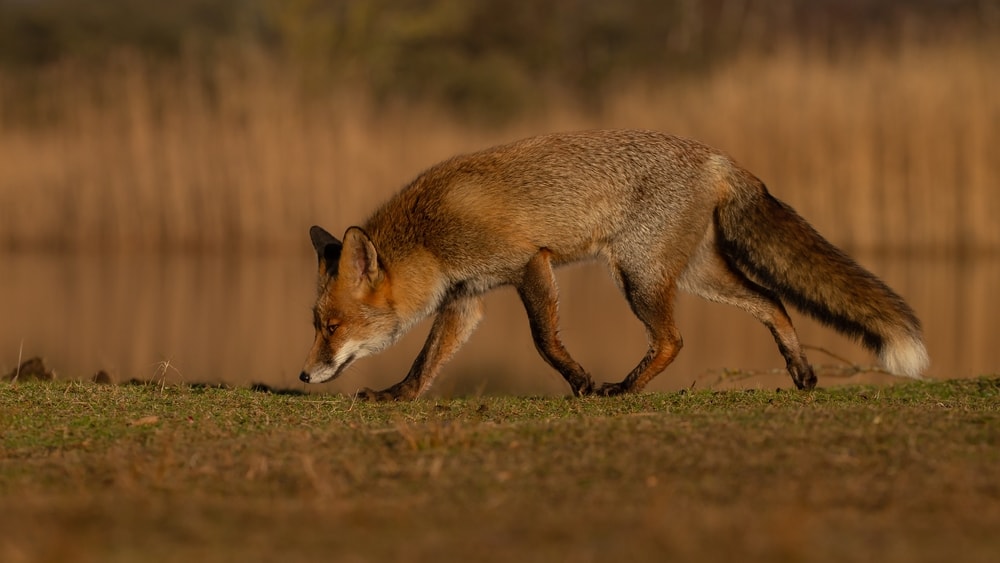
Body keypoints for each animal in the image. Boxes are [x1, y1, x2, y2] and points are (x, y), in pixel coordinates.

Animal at [300, 129, 928, 400]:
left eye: (331, 326)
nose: (303, 375)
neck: (431, 236)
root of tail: (716, 156)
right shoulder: (466, 298)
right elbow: (426, 362)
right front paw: (396, 397)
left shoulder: (529, 264)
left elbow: (544, 341)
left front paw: (580, 381)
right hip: (695, 275)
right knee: (772, 301)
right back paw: (800, 373)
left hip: (637, 275)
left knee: (673, 339)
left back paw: (622, 389)